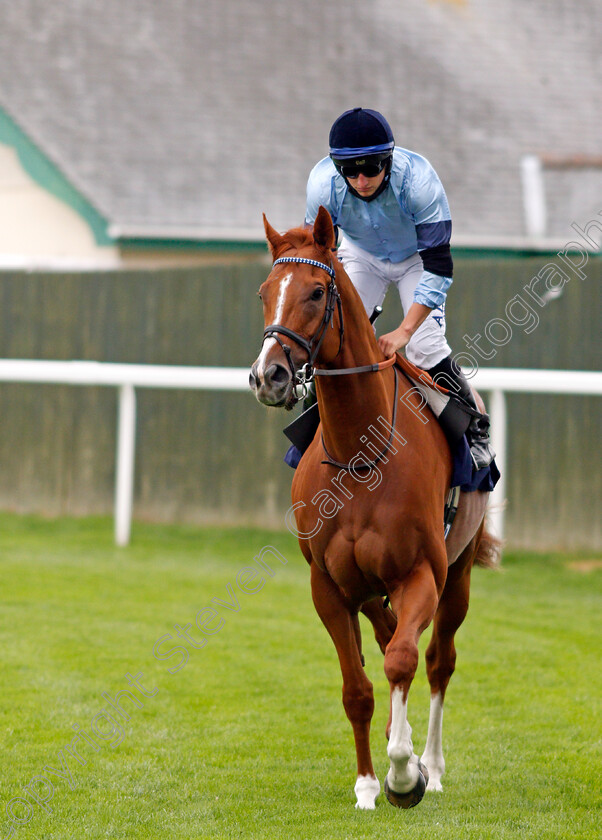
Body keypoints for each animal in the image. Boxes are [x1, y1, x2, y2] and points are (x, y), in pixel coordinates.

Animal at [248, 207, 496, 812]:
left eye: (316, 292)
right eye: (265, 292)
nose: (269, 375)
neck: (362, 456)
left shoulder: (422, 573)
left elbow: (405, 660)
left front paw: (407, 774)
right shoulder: (329, 585)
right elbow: (357, 686)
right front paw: (365, 783)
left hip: (458, 573)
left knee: (437, 659)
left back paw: (431, 762)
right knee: (385, 636)